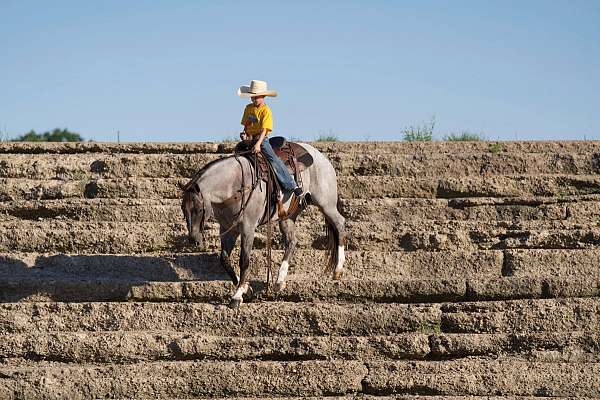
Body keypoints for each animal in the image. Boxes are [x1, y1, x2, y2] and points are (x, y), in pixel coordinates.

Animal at [180, 141, 344, 310]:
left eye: (199, 209)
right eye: (183, 209)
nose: (193, 240)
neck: (234, 185)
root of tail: (320, 156)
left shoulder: (248, 228)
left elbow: (244, 260)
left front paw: (237, 296)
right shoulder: (227, 229)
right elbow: (224, 260)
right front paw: (247, 289)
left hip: (326, 204)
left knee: (339, 224)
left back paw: (338, 270)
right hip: (288, 216)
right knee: (291, 241)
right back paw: (279, 281)